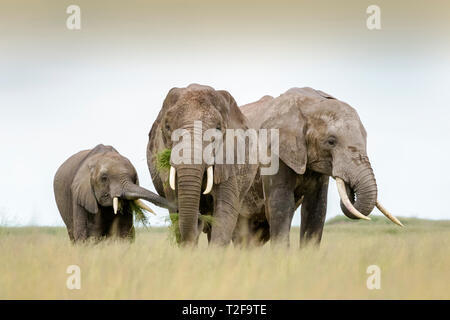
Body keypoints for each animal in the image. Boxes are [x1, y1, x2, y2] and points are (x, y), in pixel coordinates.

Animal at [148, 84, 256, 246]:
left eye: (218, 129)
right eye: (167, 127)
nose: (199, 218)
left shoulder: (229, 159)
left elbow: (225, 210)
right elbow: (176, 208)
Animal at [234, 87, 402, 248]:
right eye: (331, 141)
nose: (350, 187)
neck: (311, 103)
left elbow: (316, 209)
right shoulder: (274, 152)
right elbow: (281, 206)